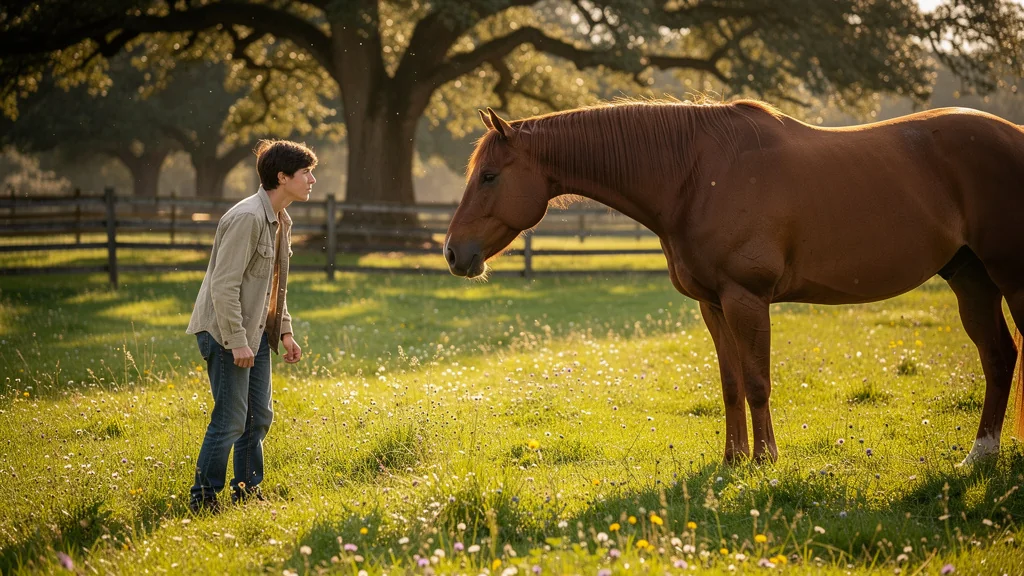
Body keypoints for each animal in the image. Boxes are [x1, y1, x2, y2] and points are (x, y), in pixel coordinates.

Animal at [443, 99, 1024, 465]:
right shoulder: (713, 304)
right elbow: (731, 384)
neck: (695, 175)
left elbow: (758, 381)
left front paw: (765, 460)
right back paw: (979, 456)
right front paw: (733, 458)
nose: (453, 253)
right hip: (971, 278)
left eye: (489, 176)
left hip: (1010, 276)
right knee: (999, 357)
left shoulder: (747, 299)